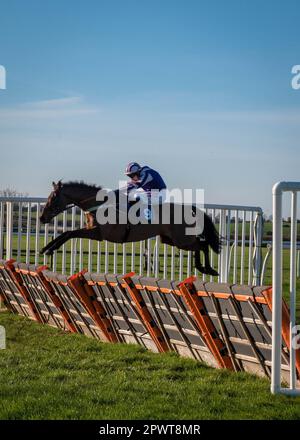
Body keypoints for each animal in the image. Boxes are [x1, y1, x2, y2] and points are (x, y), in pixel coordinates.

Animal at [39, 180, 221, 276]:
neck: (99, 204)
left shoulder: (98, 234)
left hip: (182, 240)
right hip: (171, 240)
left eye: (53, 198)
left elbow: (70, 233)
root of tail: (190, 208)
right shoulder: (92, 231)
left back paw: (208, 269)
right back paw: (204, 268)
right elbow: (66, 233)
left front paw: (49, 249)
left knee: (203, 245)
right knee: (200, 245)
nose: (42, 218)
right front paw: (46, 248)